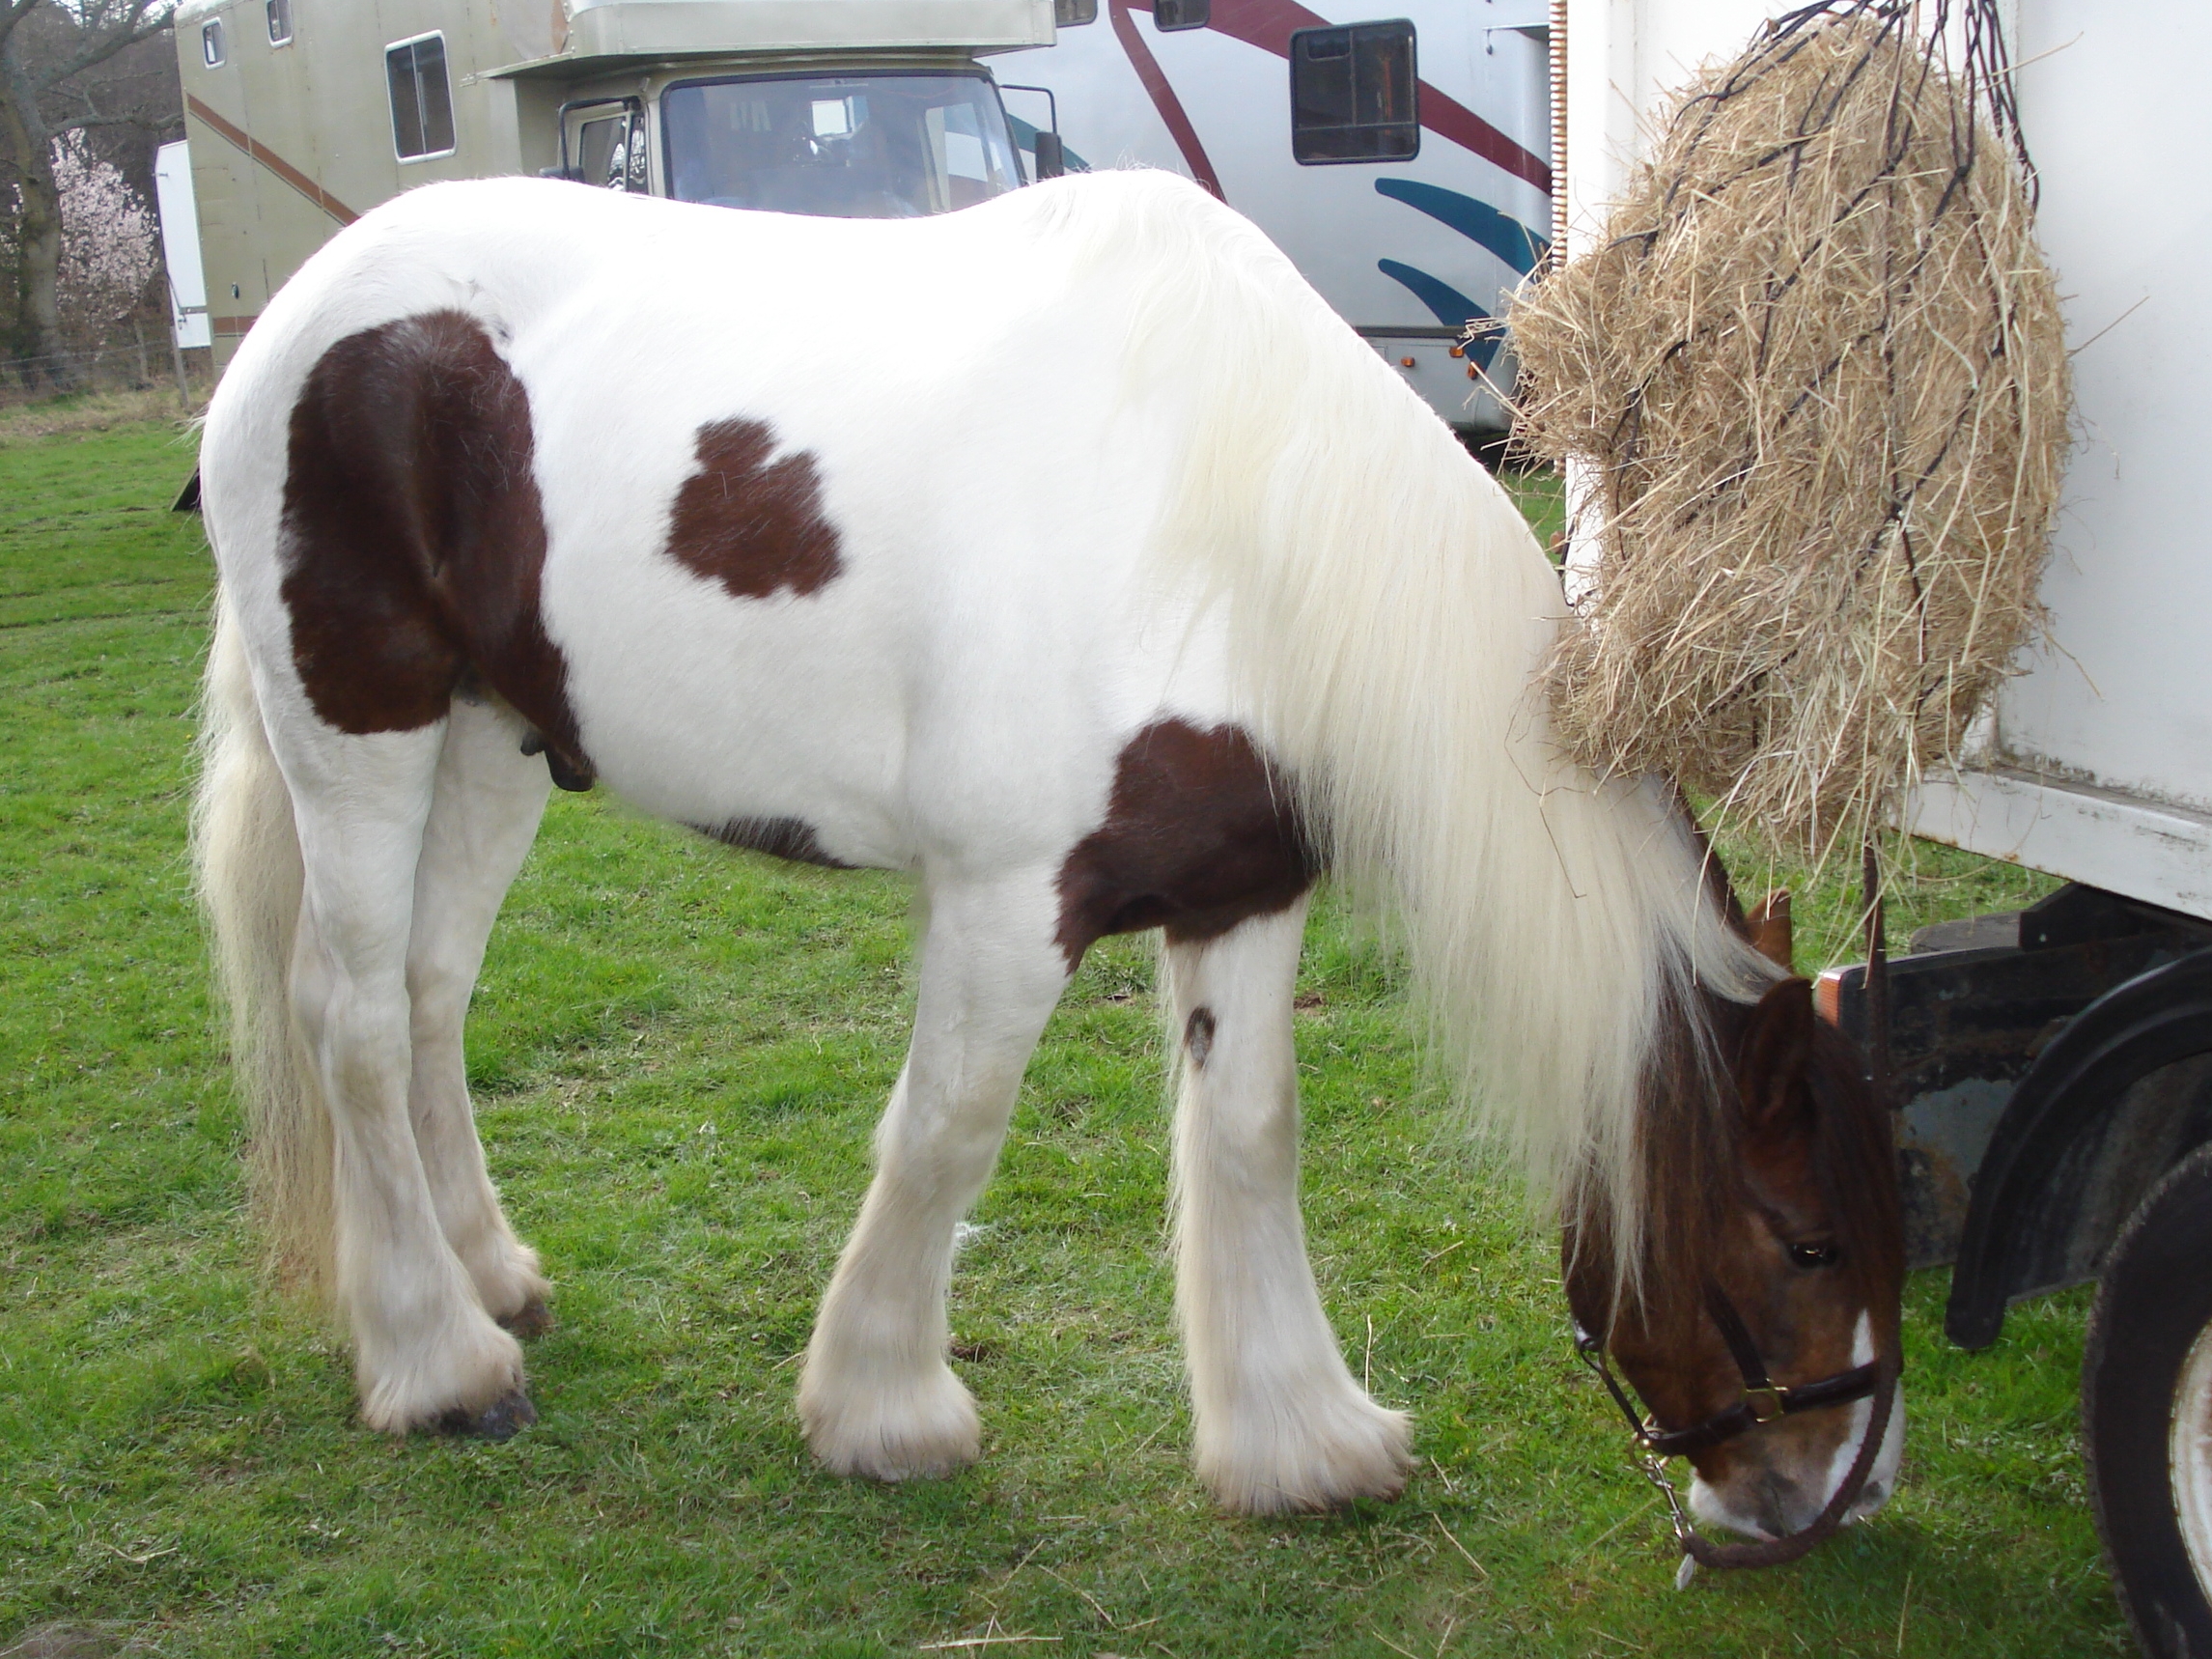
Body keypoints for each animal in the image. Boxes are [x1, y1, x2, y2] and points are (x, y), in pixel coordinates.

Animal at [189, 168, 1903, 1537]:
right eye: (1805, 1238)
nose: (1837, 1492)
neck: (1237, 529)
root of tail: (303, 312)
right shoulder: (1010, 902)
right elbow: (945, 1131)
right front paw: (880, 1408)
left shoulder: (1242, 891)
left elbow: (1250, 1134)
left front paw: (1298, 1442)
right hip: (362, 730)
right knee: (349, 1016)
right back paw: (438, 1361)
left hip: (490, 740)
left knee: (428, 994)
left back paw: (489, 1275)